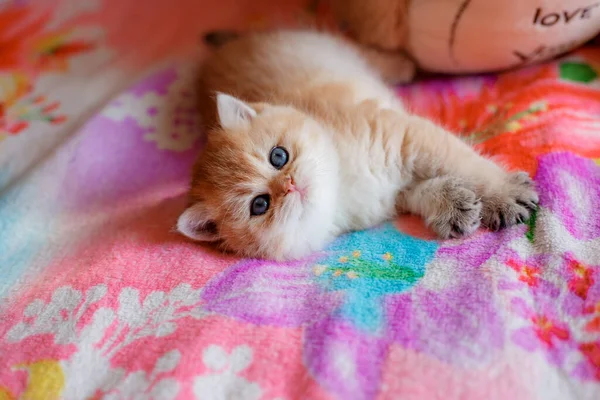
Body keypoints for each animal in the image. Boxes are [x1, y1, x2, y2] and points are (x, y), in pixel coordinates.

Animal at [178, 30, 540, 260]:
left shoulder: (411, 136)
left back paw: (405, 63)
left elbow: (469, 165)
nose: (290, 184)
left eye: (278, 156)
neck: (343, 183)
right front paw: (451, 204)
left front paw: (503, 194)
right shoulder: (390, 194)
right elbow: (420, 192)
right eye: (260, 205)